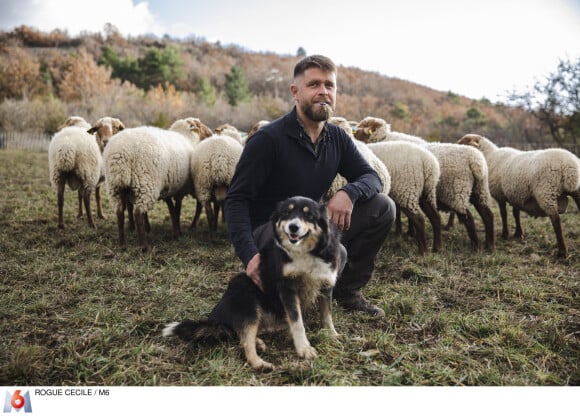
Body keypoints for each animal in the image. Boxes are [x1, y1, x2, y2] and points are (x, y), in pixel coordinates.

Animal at [103, 118, 213, 252]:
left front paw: (176, 232)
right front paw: (178, 232)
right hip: (146, 182)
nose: (211, 133)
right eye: (199, 125)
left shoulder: (168, 187)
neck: (187, 137)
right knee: (138, 213)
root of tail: (120, 154)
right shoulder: (179, 190)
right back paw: (144, 246)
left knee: (119, 213)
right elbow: (177, 210)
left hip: (114, 187)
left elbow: (171, 209)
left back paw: (122, 245)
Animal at [161, 197, 346, 372]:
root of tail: (216, 319)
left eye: (309, 215)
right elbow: (297, 321)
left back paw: (259, 343)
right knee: (245, 342)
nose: (293, 227)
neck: (306, 252)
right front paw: (304, 349)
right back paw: (260, 363)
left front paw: (332, 334)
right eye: (287, 213)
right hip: (246, 296)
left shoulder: (326, 283)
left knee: (242, 335)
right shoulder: (287, 288)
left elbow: (327, 314)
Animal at [356, 115, 496, 250]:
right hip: (477, 190)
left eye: (359, 131)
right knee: (487, 215)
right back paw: (488, 245)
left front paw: (400, 233)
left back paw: (475, 246)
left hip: (455, 191)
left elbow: (400, 214)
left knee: (467, 218)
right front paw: (408, 233)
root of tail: (475, 161)